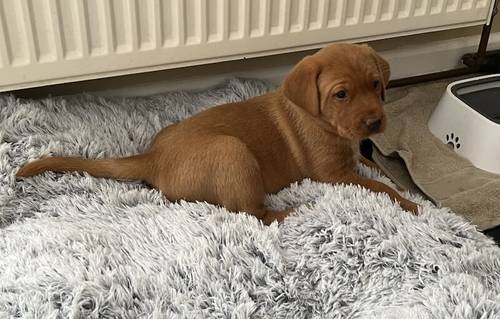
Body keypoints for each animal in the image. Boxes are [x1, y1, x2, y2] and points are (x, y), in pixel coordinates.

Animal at [16, 43, 418, 225]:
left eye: (376, 84)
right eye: (341, 94)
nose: (374, 123)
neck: (323, 121)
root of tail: (152, 158)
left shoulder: (354, 158)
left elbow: (380, 171)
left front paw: (406, 188)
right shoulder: (332, 173)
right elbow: (379, 187)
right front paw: (411, 203)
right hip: (233, 151)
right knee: (253, 213)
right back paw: (293, 210)